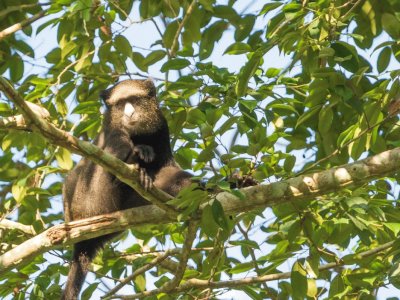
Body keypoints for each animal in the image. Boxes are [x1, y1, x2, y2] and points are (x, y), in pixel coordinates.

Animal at [61, 79, 193, 300]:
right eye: (121, 104)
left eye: (134, 100)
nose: (129, 113)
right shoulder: (112, 129)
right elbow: (113, 151)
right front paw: (137, 154)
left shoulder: (161, 127)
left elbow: (167, 168)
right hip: (92, 200)